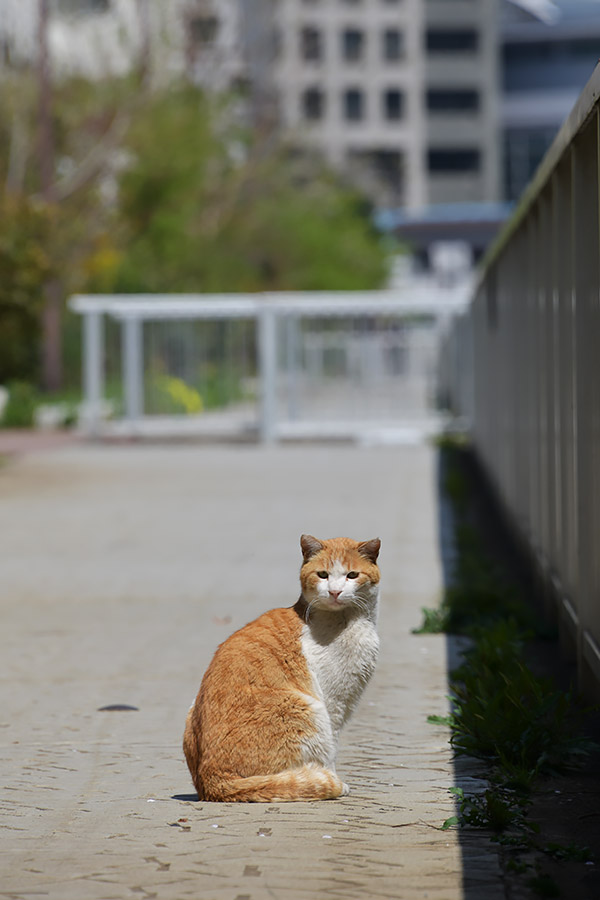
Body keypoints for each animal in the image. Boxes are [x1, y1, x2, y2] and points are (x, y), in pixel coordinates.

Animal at [183, 536, 380, 800]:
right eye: (323, 574)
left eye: (352, 575)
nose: (335, 591)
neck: (346, 622)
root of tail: (210, 779)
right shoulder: (334, 704)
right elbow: (332, 749)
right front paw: (332, 779)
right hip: (309, 709)